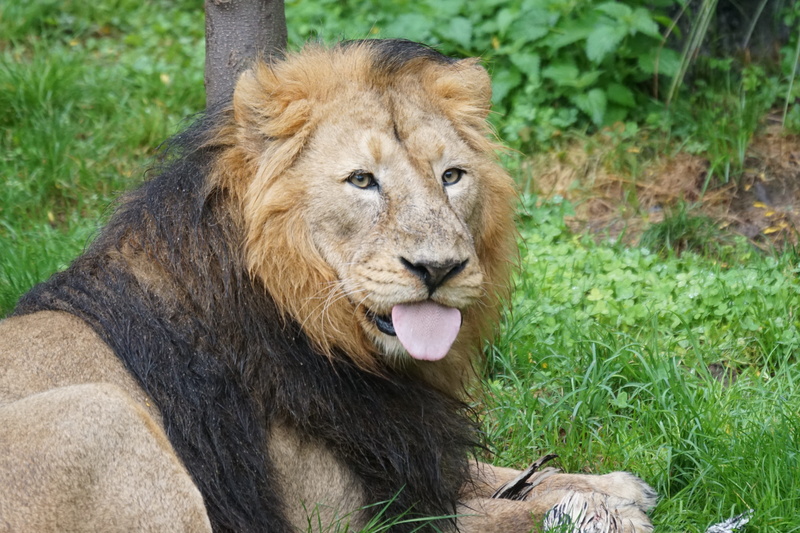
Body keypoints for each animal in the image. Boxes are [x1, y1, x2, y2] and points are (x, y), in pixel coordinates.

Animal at [0, 40, 656, 532]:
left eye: (452, 176)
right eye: (362, 180)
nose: (439, 268)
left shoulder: (403, 454)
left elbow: (494, 476)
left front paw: (608, 485)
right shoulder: (334, 517)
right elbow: (490, 516)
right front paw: (596, 512)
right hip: (99, 413)